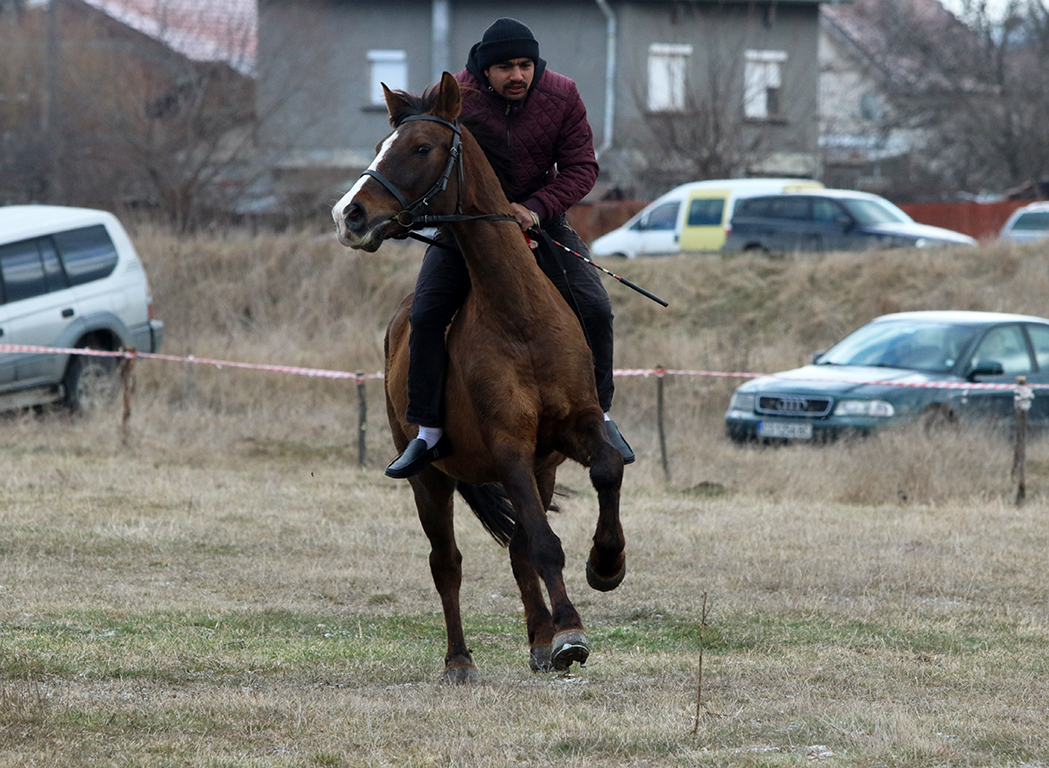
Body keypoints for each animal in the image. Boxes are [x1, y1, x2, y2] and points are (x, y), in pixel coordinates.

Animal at [331, 73, 621, 684]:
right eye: (380, 147)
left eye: (421, 148)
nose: (350, 216)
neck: (519, 316)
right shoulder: (508, 446)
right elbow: (544, 542)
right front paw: (572, 632)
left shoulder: (570, 431)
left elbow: (605, 471)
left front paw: (606, 566)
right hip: (430, 480)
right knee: (448, 562)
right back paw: (460, 660)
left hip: (541, 468)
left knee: (517, 547)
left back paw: (539, 639)